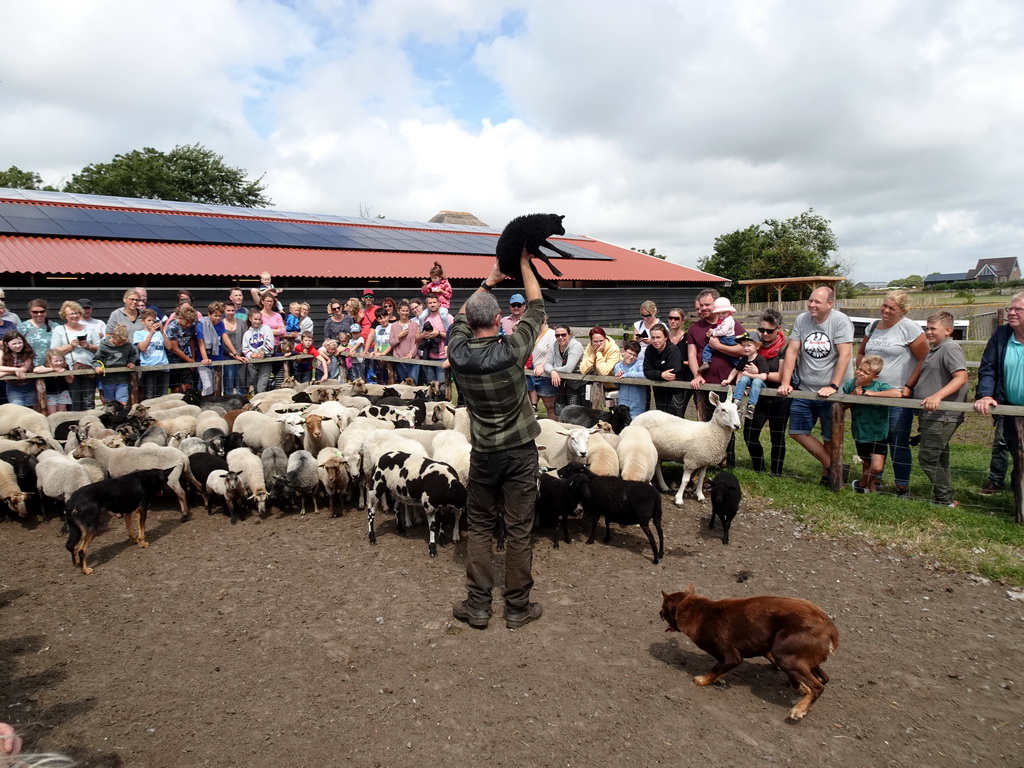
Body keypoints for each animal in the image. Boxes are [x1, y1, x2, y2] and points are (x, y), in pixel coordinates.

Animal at [663, 581, 839, 720]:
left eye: (663, 609)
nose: (658, 613)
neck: (699, 611)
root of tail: (831, 631)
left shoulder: (731, 657)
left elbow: (715, 670)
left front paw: (703, 680)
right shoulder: (766, 648)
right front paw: (798, 686)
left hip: (785, 656)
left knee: (817, 686)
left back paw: (799, 709)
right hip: (791, 654)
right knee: (824, 678)